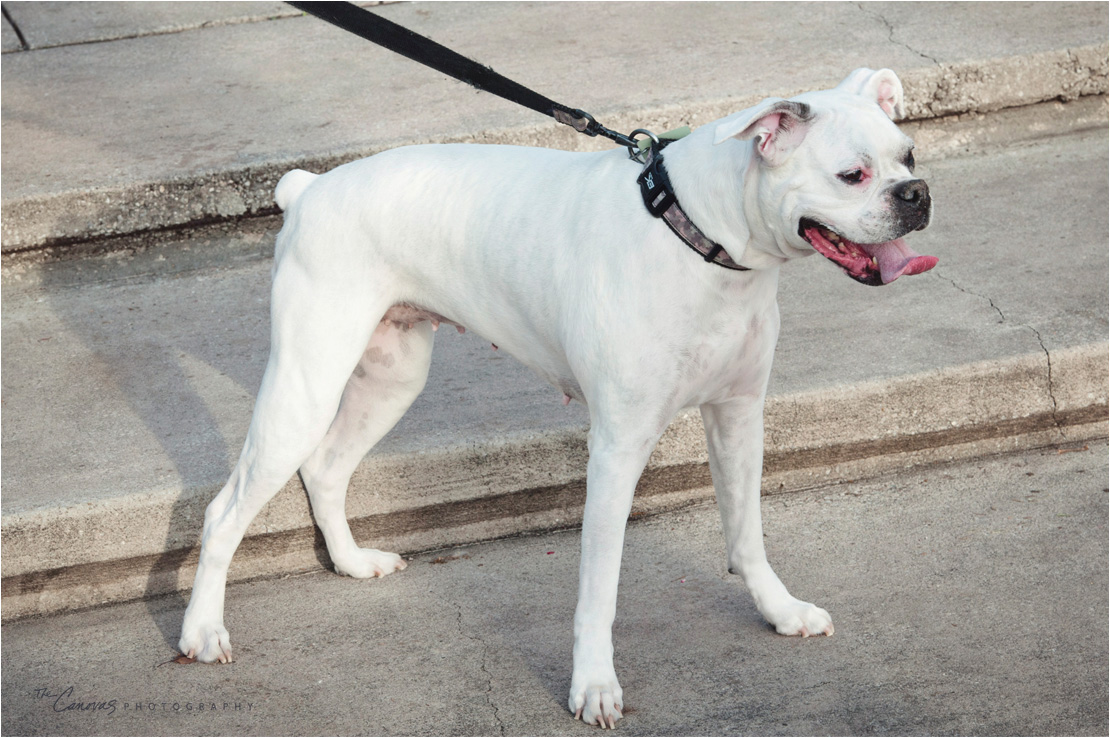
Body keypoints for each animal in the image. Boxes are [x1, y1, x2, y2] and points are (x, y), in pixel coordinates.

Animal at [179, 67, 936, 723]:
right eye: (852, 174)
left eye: (908, 155)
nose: (917, 193)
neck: (697, 234)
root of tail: (309, 189)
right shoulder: (617, 451)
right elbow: (599, 589)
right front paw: (594, 687)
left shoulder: (739, 417)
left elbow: (747, 534)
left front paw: (780, 612)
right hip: (305, 384)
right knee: (225, 511)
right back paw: (202, 631)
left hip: (390, 379)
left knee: (326, 468)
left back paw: (350, 563)